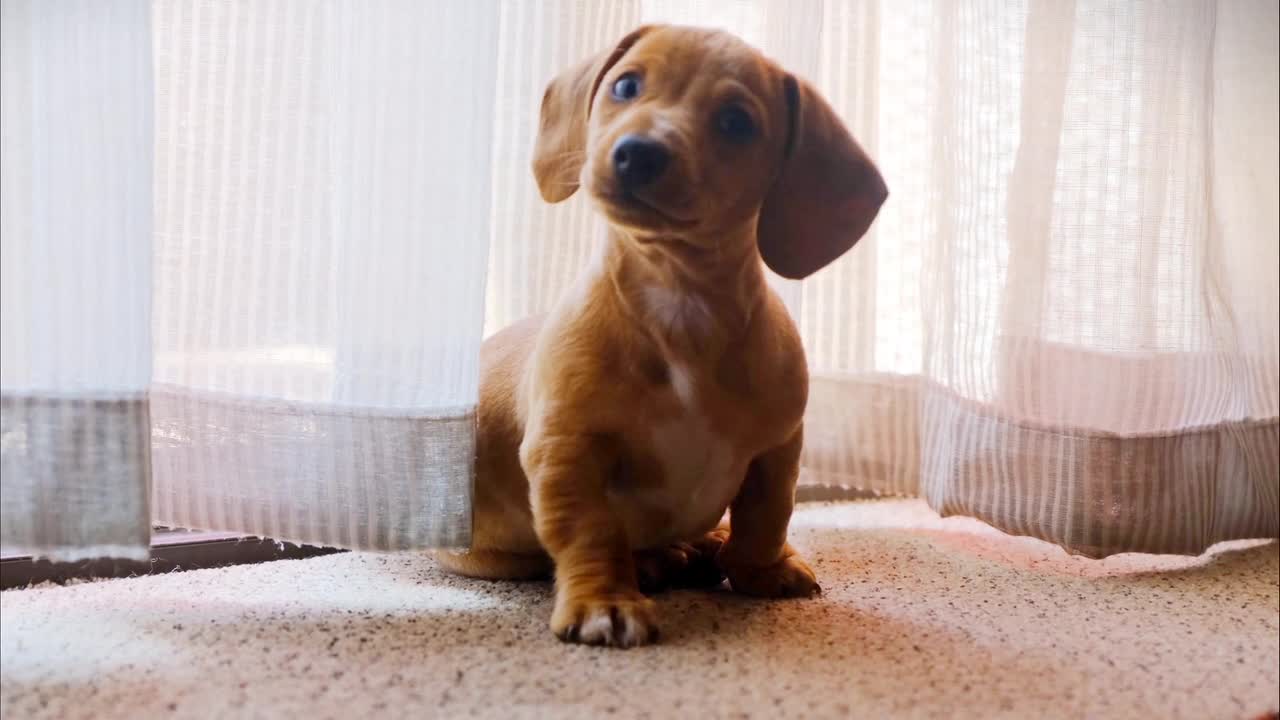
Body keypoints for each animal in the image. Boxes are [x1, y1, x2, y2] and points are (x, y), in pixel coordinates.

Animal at [435, 25, 885, 648]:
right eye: (626, 85)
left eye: (736, 122)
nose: (638, 153)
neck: (681, 303)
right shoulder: (567, 451)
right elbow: (591, 532)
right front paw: (605, 602)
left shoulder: (778, 447)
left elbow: (767, 516)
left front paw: (760, 568)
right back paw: (658, 560)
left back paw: (702, 545)